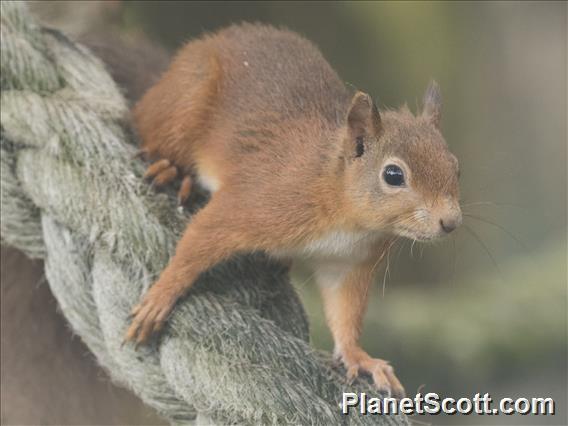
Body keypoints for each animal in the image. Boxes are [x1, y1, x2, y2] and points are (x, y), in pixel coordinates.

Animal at [124, 23, 462, 398]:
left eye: (455, 167)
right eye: (393, 175)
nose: (451, 222)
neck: (347, 218)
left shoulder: (349, 263)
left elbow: (345, 312)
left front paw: (360, 357)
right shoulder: (256, 202)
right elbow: (199, 239)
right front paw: (159, 297)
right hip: (186, 99)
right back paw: (173, 170)